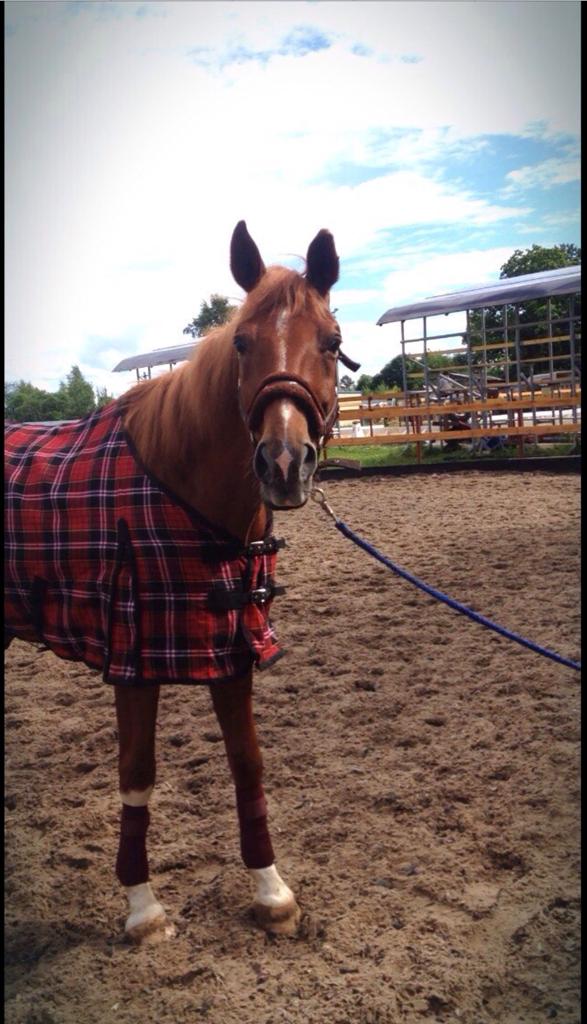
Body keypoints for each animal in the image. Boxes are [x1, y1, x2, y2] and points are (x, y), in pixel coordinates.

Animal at [5, 221, 344, 944]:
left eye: (330, 342)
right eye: (242, 342)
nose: (283, 464)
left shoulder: (232, 646)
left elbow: (248, 765)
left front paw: (271, 891)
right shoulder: (134, 656)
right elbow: (137, 774)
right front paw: (142, 907)